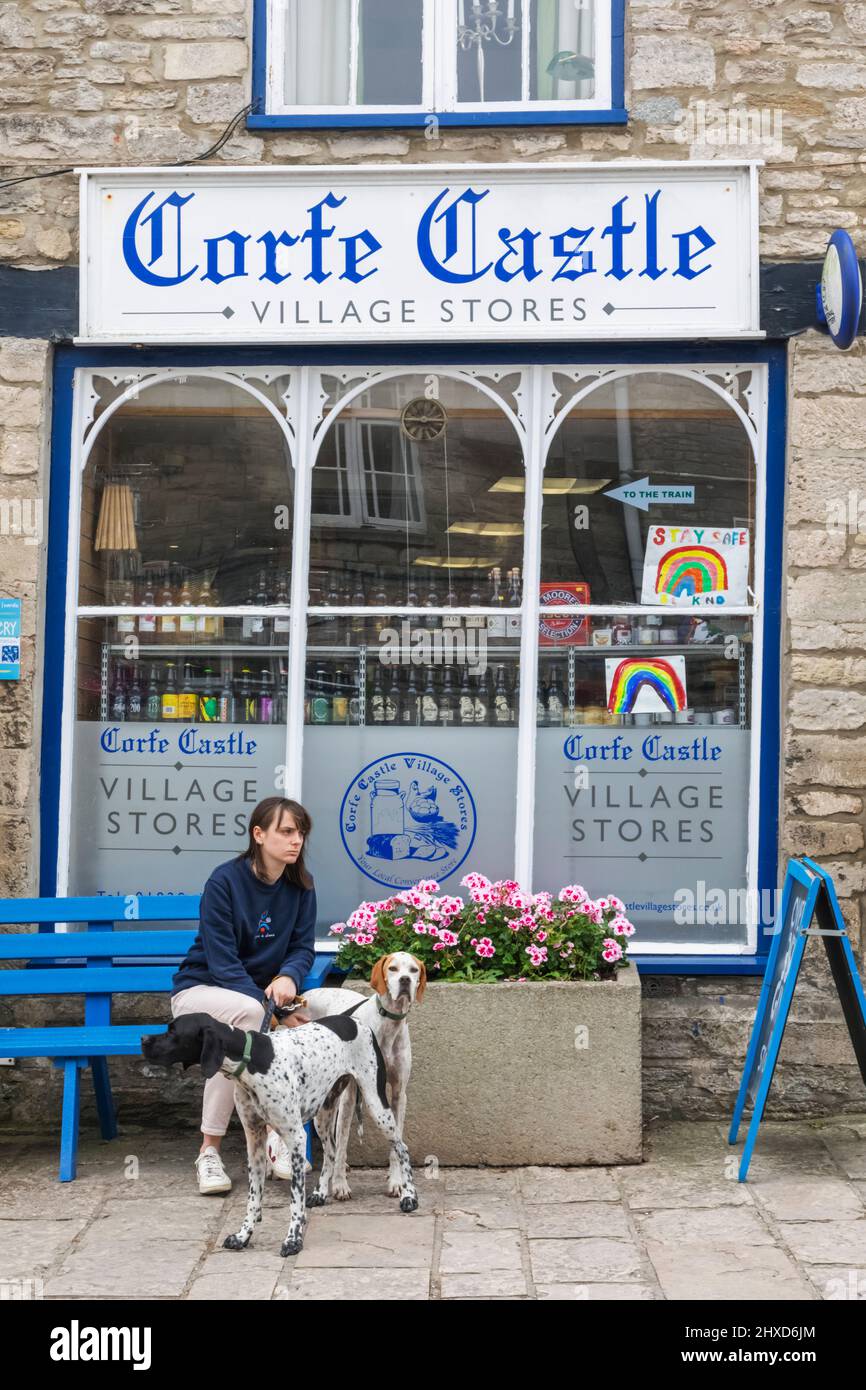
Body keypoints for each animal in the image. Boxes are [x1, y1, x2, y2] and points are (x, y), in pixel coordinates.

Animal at [140, 1011, 419, 1262]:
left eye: (173, 1031)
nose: (143, 1038)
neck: (251, 1060)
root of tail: (356, 1020)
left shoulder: (295, 1138)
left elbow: (294, 1200)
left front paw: (293, 1240)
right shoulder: (254, 1140)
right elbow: (253, 1198)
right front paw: (243, 1236)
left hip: (377, 1105)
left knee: (402, 1147)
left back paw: (408, 1196)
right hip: (323, 1113)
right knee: (331, 1150)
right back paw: (320, 1193)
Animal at [297, 956, 428, 1206]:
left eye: (414, 970)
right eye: (393, 968)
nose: (405, 980)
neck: (387, 1026)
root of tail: (305, 995)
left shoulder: (398, 1094)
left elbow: (396, 1144)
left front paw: (396, 1181)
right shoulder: (350, 1097)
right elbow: (341, 1142)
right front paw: (339, 1185)